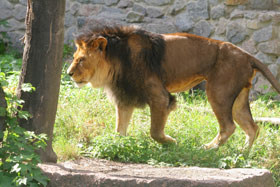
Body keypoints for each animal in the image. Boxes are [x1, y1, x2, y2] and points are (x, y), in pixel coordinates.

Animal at [67, 25, 280, 150]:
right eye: (75, 58)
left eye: (81, 60)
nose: (69, 73)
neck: (116, 60)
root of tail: (247, 55)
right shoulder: (126, 97)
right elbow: (120, 128)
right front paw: (117, 144)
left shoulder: (159, 96)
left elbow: (154, 131)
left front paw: (171, 142)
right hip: (238, 98)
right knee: (252, 127)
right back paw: (243, 154)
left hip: (218, 92)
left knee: (229, 126)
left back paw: (209, 148)